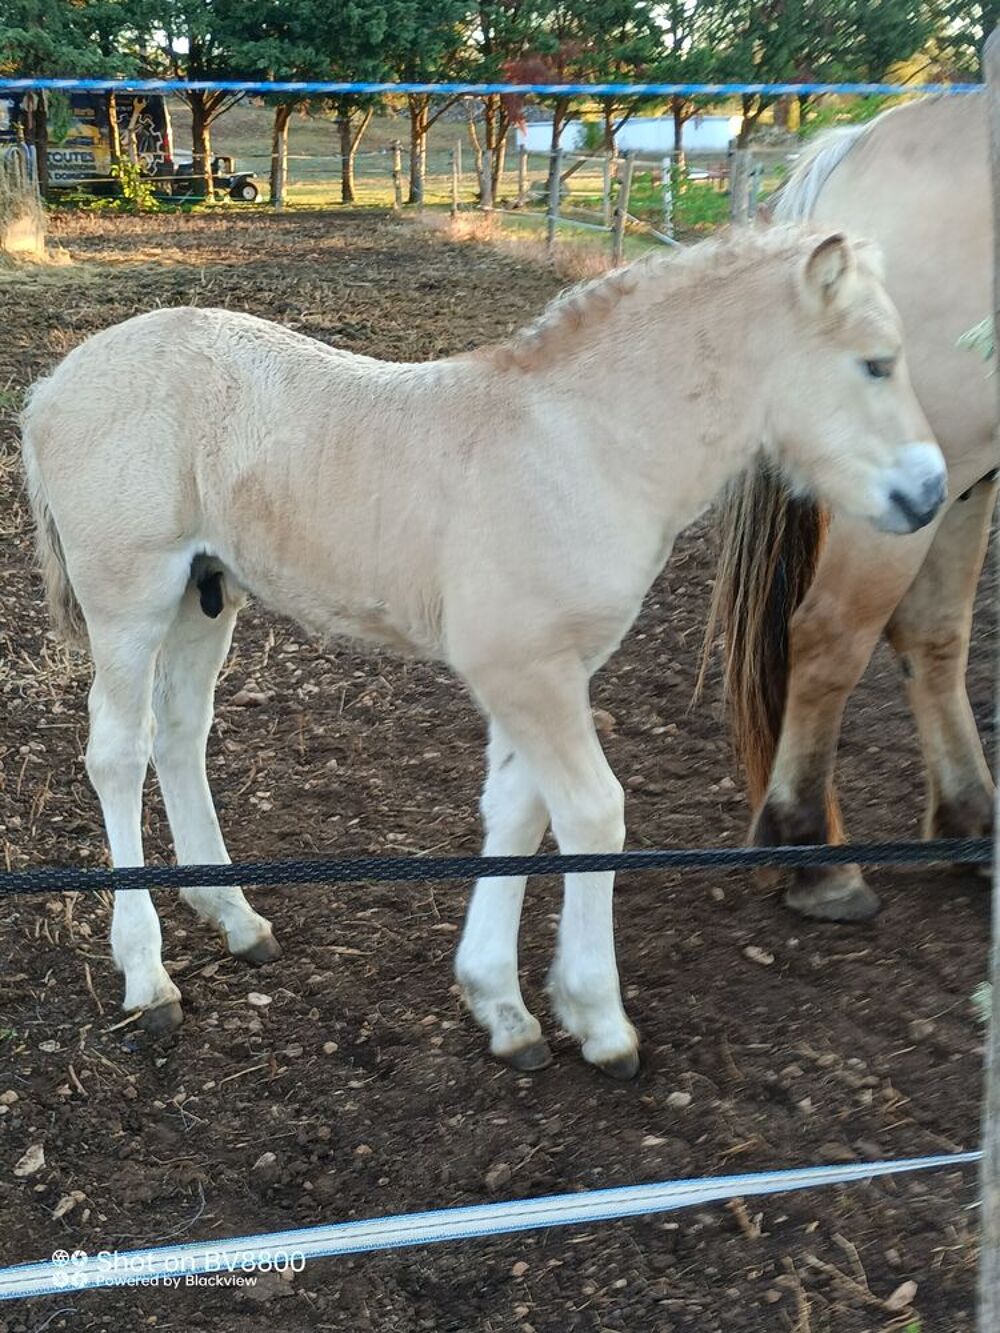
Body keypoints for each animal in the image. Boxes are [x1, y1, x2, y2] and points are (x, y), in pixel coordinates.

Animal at [21, 229, 949, 1077]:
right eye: (875, 363)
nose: (930, 492)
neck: (584, 447)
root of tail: (50, 387)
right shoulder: (523, 667)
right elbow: (592, 812)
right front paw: (599, 1016)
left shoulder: (549, 669)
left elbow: (517, 811)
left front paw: (502, 1004)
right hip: (130, 599)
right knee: (118, 752)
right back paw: (148, 977)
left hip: (203, 596)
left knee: (181, 736)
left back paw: (236, 917)